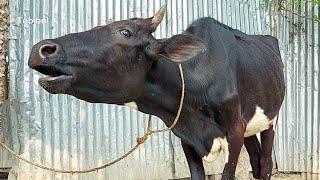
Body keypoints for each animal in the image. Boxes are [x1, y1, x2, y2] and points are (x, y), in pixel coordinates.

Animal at [27, 5, 284, 180]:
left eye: (125, 32)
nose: (41, 49)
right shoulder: (185, 136)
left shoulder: (234, 131)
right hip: (250, 125)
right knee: (256, 161)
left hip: (271, 120)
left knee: (265, 165)